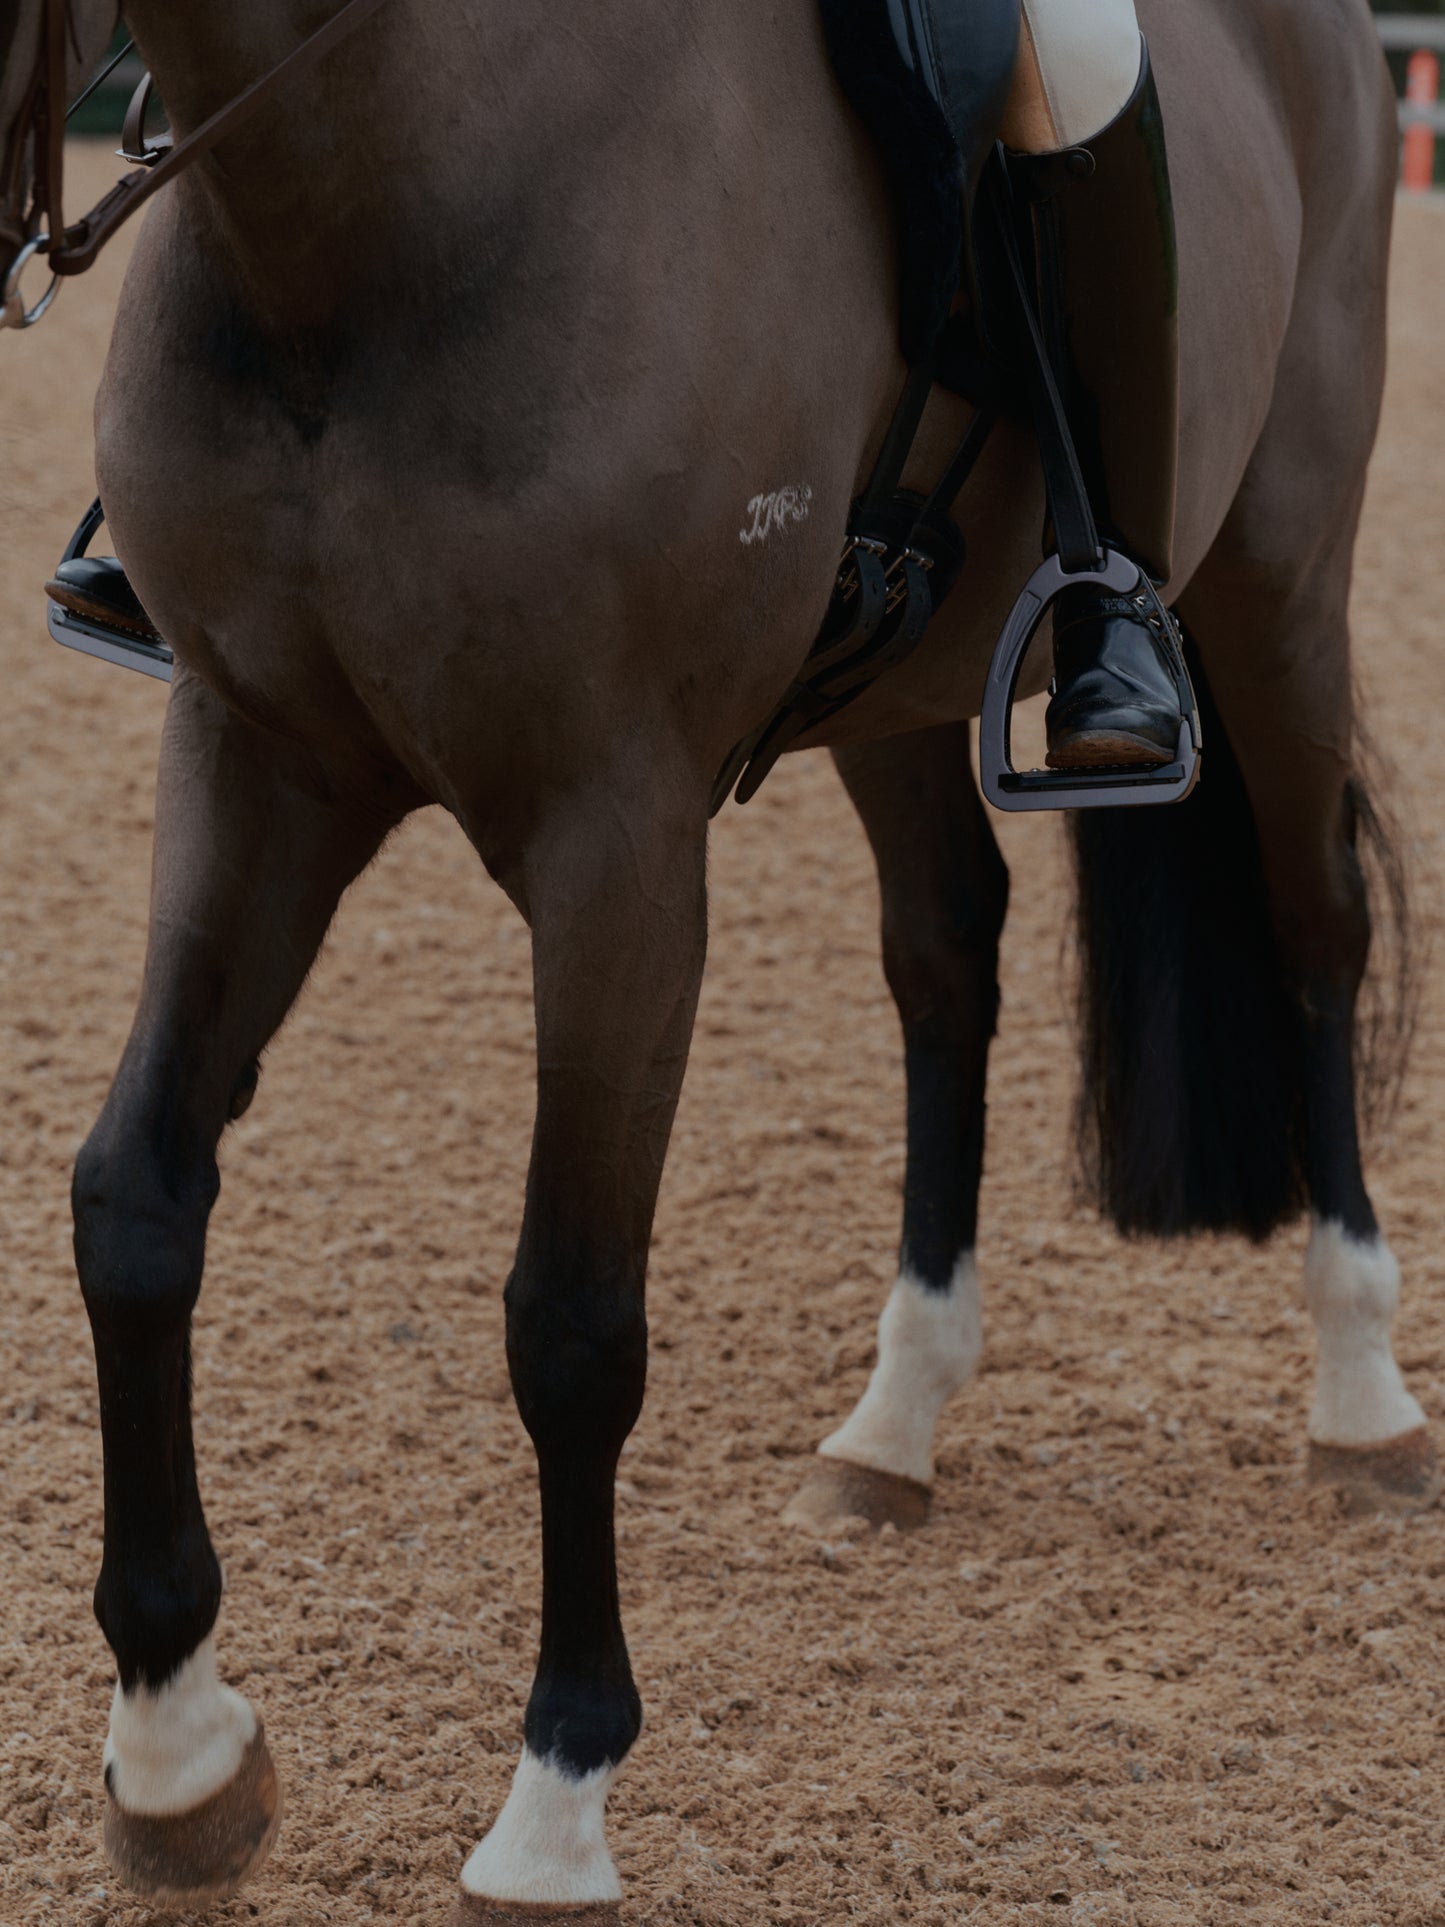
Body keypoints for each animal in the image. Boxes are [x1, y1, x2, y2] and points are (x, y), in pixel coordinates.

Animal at [0, 0, 1425, 1919]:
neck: (380, 191)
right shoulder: (256, 752)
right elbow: (134, 1202)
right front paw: (177, 1748)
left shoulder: (617, 841)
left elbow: (571, 1317)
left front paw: (556, 1798)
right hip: (904, 692)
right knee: (943, 962)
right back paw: (894, 1420)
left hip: (1278, 579)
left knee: (1312, 923)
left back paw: (1361, 1394)